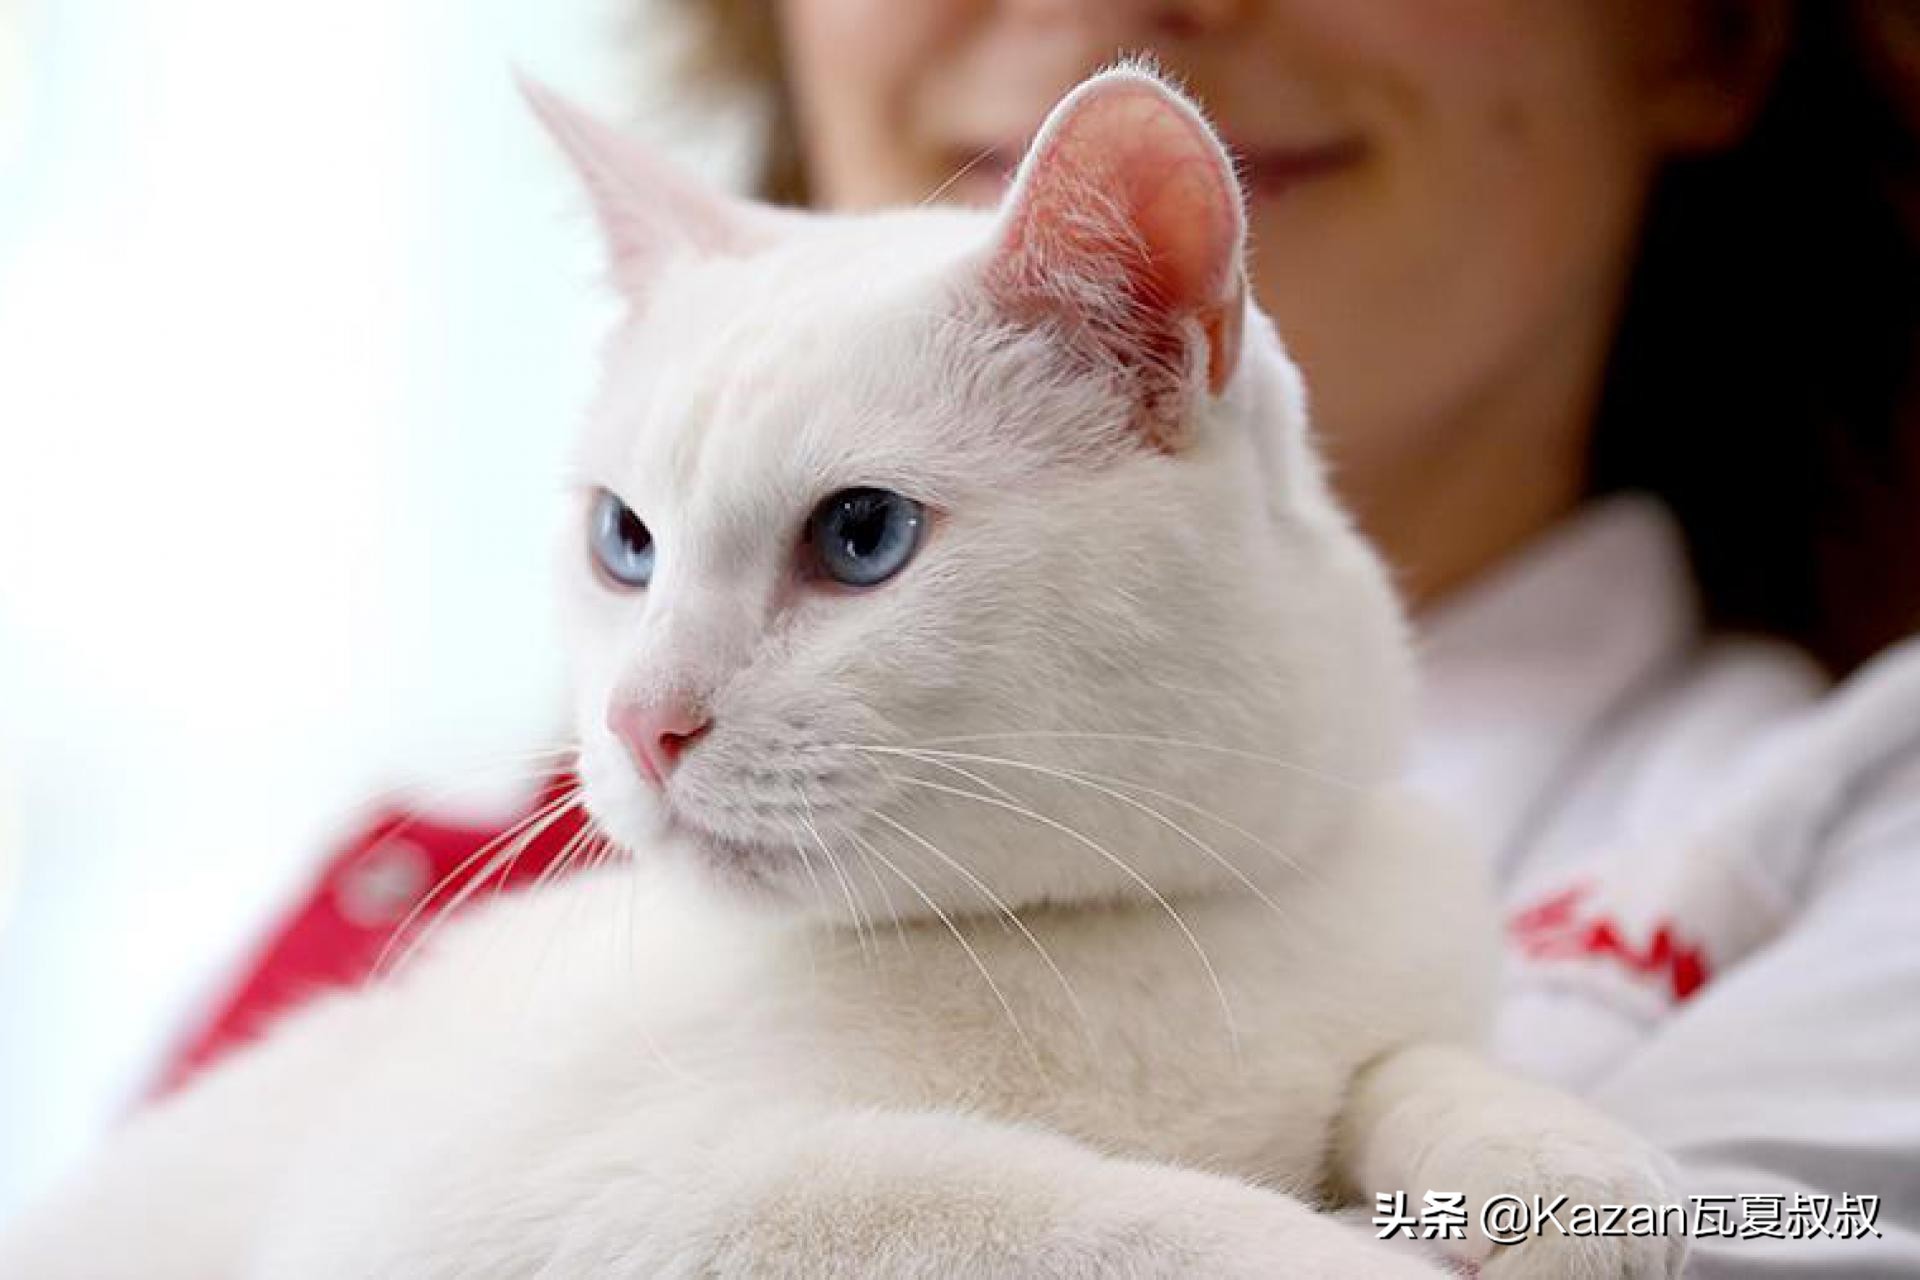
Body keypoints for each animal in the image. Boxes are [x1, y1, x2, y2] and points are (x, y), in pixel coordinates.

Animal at [0, 72, 1681, 1280]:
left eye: (861, 537)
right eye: (625, 542)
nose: (639, 723)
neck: (1115, 943)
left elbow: (1411, 1063)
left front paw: (1557, 1166)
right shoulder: (551, 1189)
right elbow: (1040, 1205)